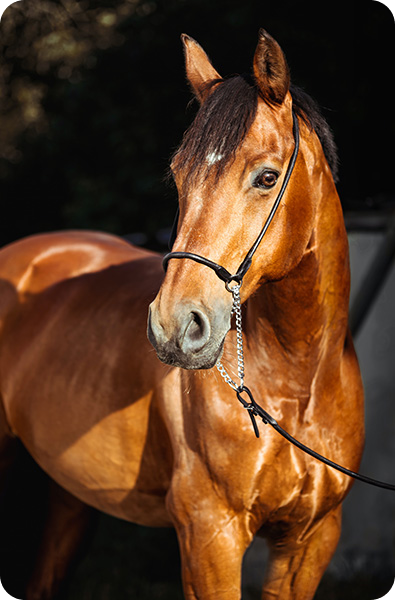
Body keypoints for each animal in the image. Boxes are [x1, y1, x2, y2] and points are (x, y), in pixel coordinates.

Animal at [0, 29, 366, 600]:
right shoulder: (209, 535)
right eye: (178, 177)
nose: (173, 327)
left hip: (68, 497)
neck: (296, 384)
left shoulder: (311, 540)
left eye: (266, 177)